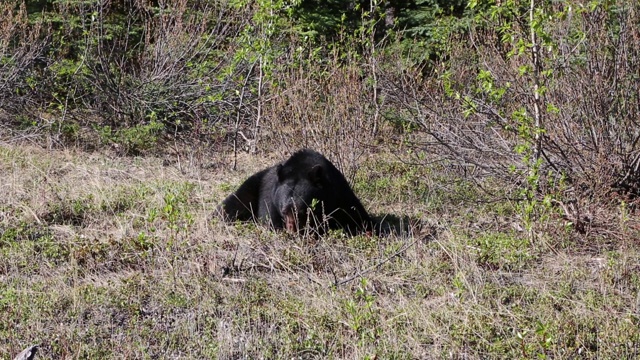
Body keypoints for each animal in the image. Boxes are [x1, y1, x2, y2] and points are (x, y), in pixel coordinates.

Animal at [220, 148, 372, 235]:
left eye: (302, 211)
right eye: (283, 211)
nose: (292, 230)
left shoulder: (340, 197)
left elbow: (359, 219)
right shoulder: (270, 202)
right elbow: (271, 222)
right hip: (251, 187)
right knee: (232, 205)